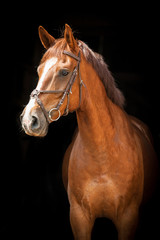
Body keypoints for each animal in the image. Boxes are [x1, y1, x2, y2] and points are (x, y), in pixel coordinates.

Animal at [20, 24, 158, 238]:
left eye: (64, 72)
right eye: (39, 70)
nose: (29, 120)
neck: (103, 155)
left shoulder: (128, 218)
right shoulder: (79, 218)